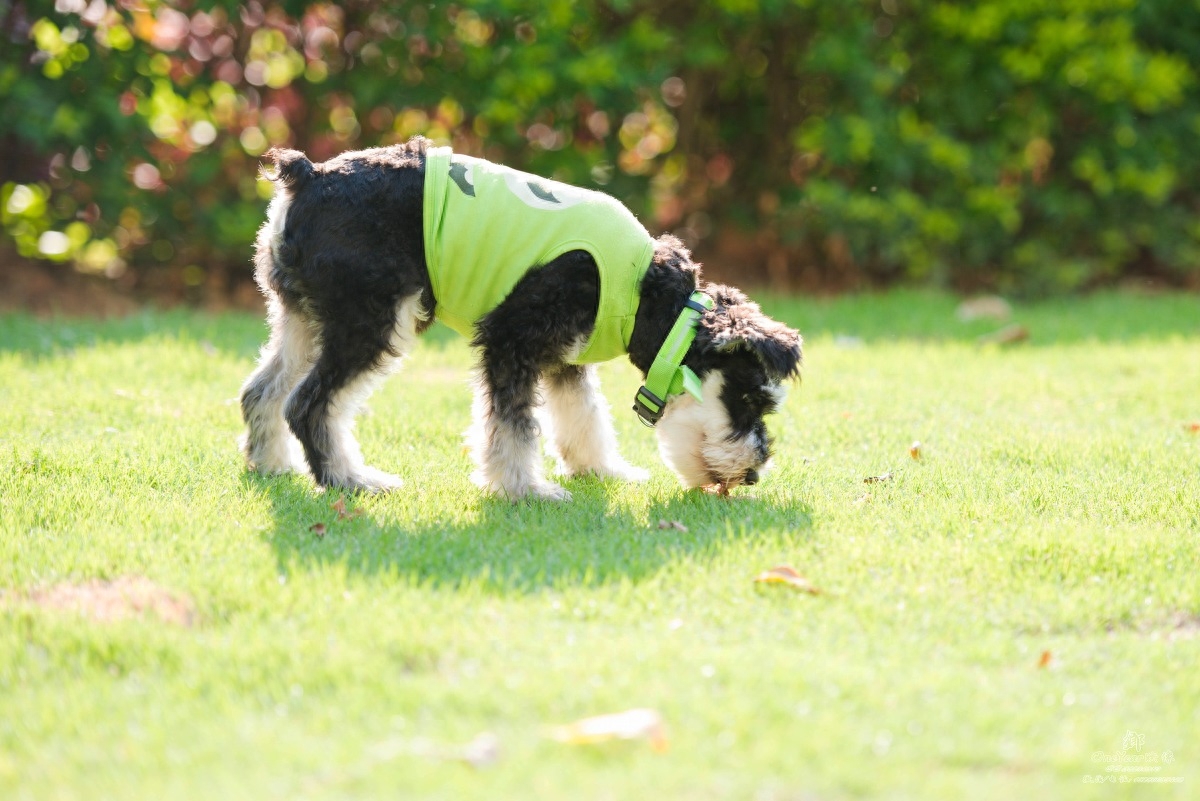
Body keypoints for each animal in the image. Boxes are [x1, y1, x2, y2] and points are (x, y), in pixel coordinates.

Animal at [238, 137, 801, 501]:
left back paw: (271, 465)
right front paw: (524, 488)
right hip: (370, 321)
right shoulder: (512, 342)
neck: (647, 295)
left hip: (305, 319)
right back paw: (350, 481)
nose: (754, 473)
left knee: (263, 391)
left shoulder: (564, 360)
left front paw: (602, 470)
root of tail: (307, 177)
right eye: (749, 400)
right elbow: (511, 426)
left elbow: (583, 416)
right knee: (309, 403)